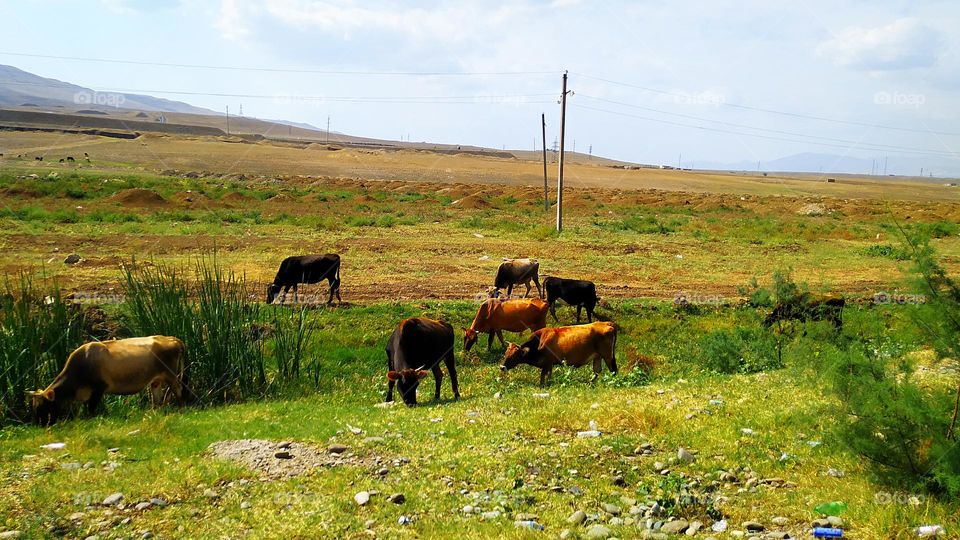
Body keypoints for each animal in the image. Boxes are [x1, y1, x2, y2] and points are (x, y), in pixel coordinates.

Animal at [28, 336, 186, 425]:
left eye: (43, 406)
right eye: (34, 406)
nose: (40, 425)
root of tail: (171, 338)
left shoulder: (98, 389)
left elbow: (91, 408)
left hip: (171, 375)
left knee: (178, 389)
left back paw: (181, 409)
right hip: (156, 380)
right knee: (157, 397)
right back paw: (154, 412)